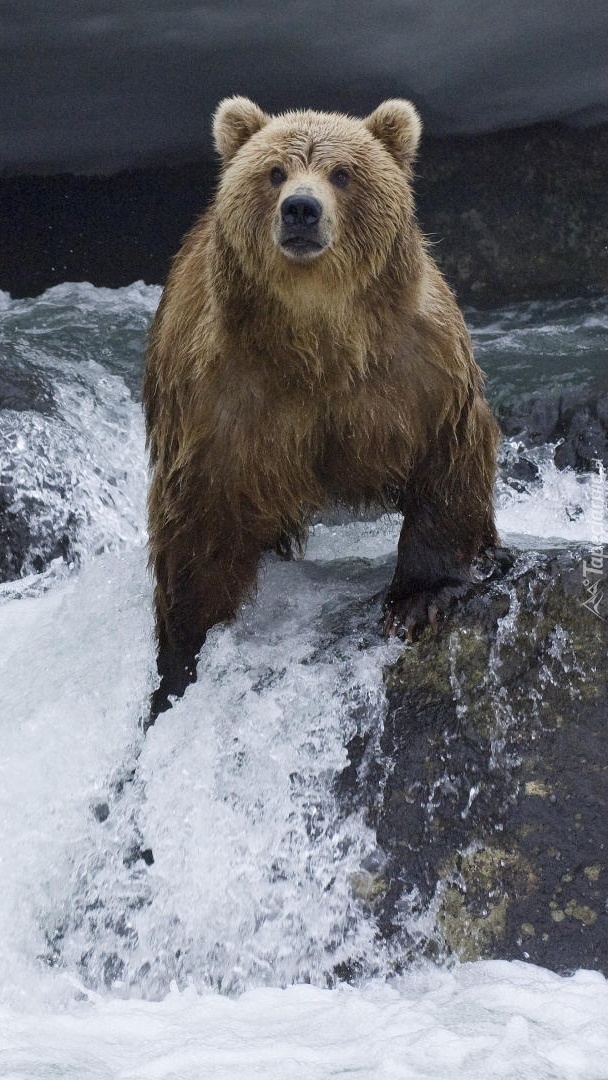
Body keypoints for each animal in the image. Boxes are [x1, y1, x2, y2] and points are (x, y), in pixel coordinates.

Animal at [142, 97, 498, 721]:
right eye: (275, 171)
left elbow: (447, 457)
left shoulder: (416, 366)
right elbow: (197, 519)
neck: (317, 338)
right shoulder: (220, 395)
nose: (301, 210)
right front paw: (181, 658)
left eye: (342, 173)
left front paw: (418, 600)